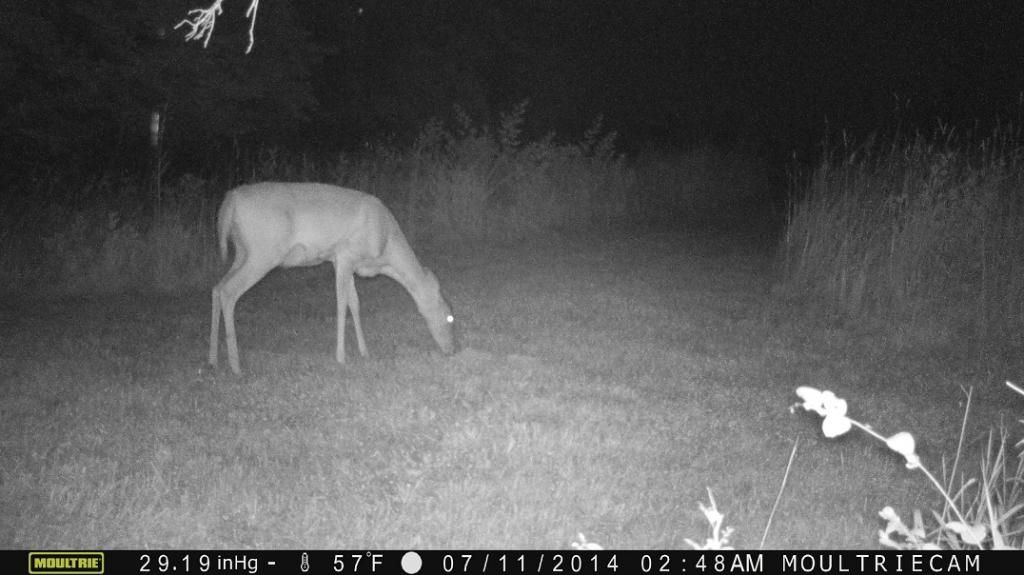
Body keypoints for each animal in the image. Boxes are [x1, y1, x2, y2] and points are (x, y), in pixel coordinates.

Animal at [209, 182, 456, 374]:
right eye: (449, 317)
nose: (451, 349)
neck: (387, 248)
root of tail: (230, 200)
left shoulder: (343, 262)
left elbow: (354, 303)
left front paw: (365, 352)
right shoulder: (345, 254)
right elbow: (341, 304)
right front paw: (341, 357)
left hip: (243, 252)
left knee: (217, 288)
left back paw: (212, 360)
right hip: (263, 252)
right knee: (229, 291)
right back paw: (235, 365)